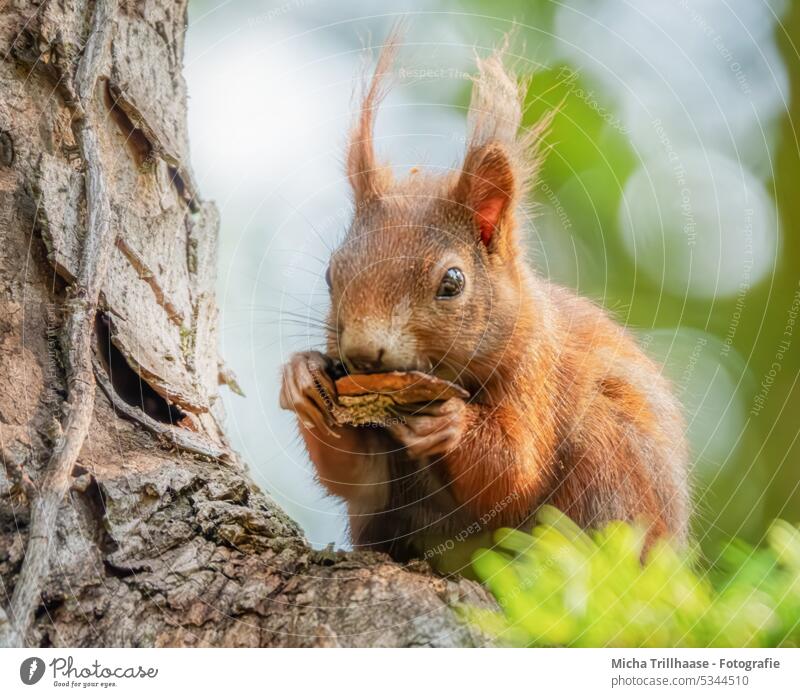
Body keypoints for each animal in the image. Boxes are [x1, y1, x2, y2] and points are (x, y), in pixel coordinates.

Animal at [280, 32, 688, 564]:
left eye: (452, 282)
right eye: (331, 273)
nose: (363, 353)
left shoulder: (537, 370)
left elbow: (514, 472)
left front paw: (452, 424)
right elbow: (359, 480)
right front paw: (301, 376)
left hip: (609, 462)